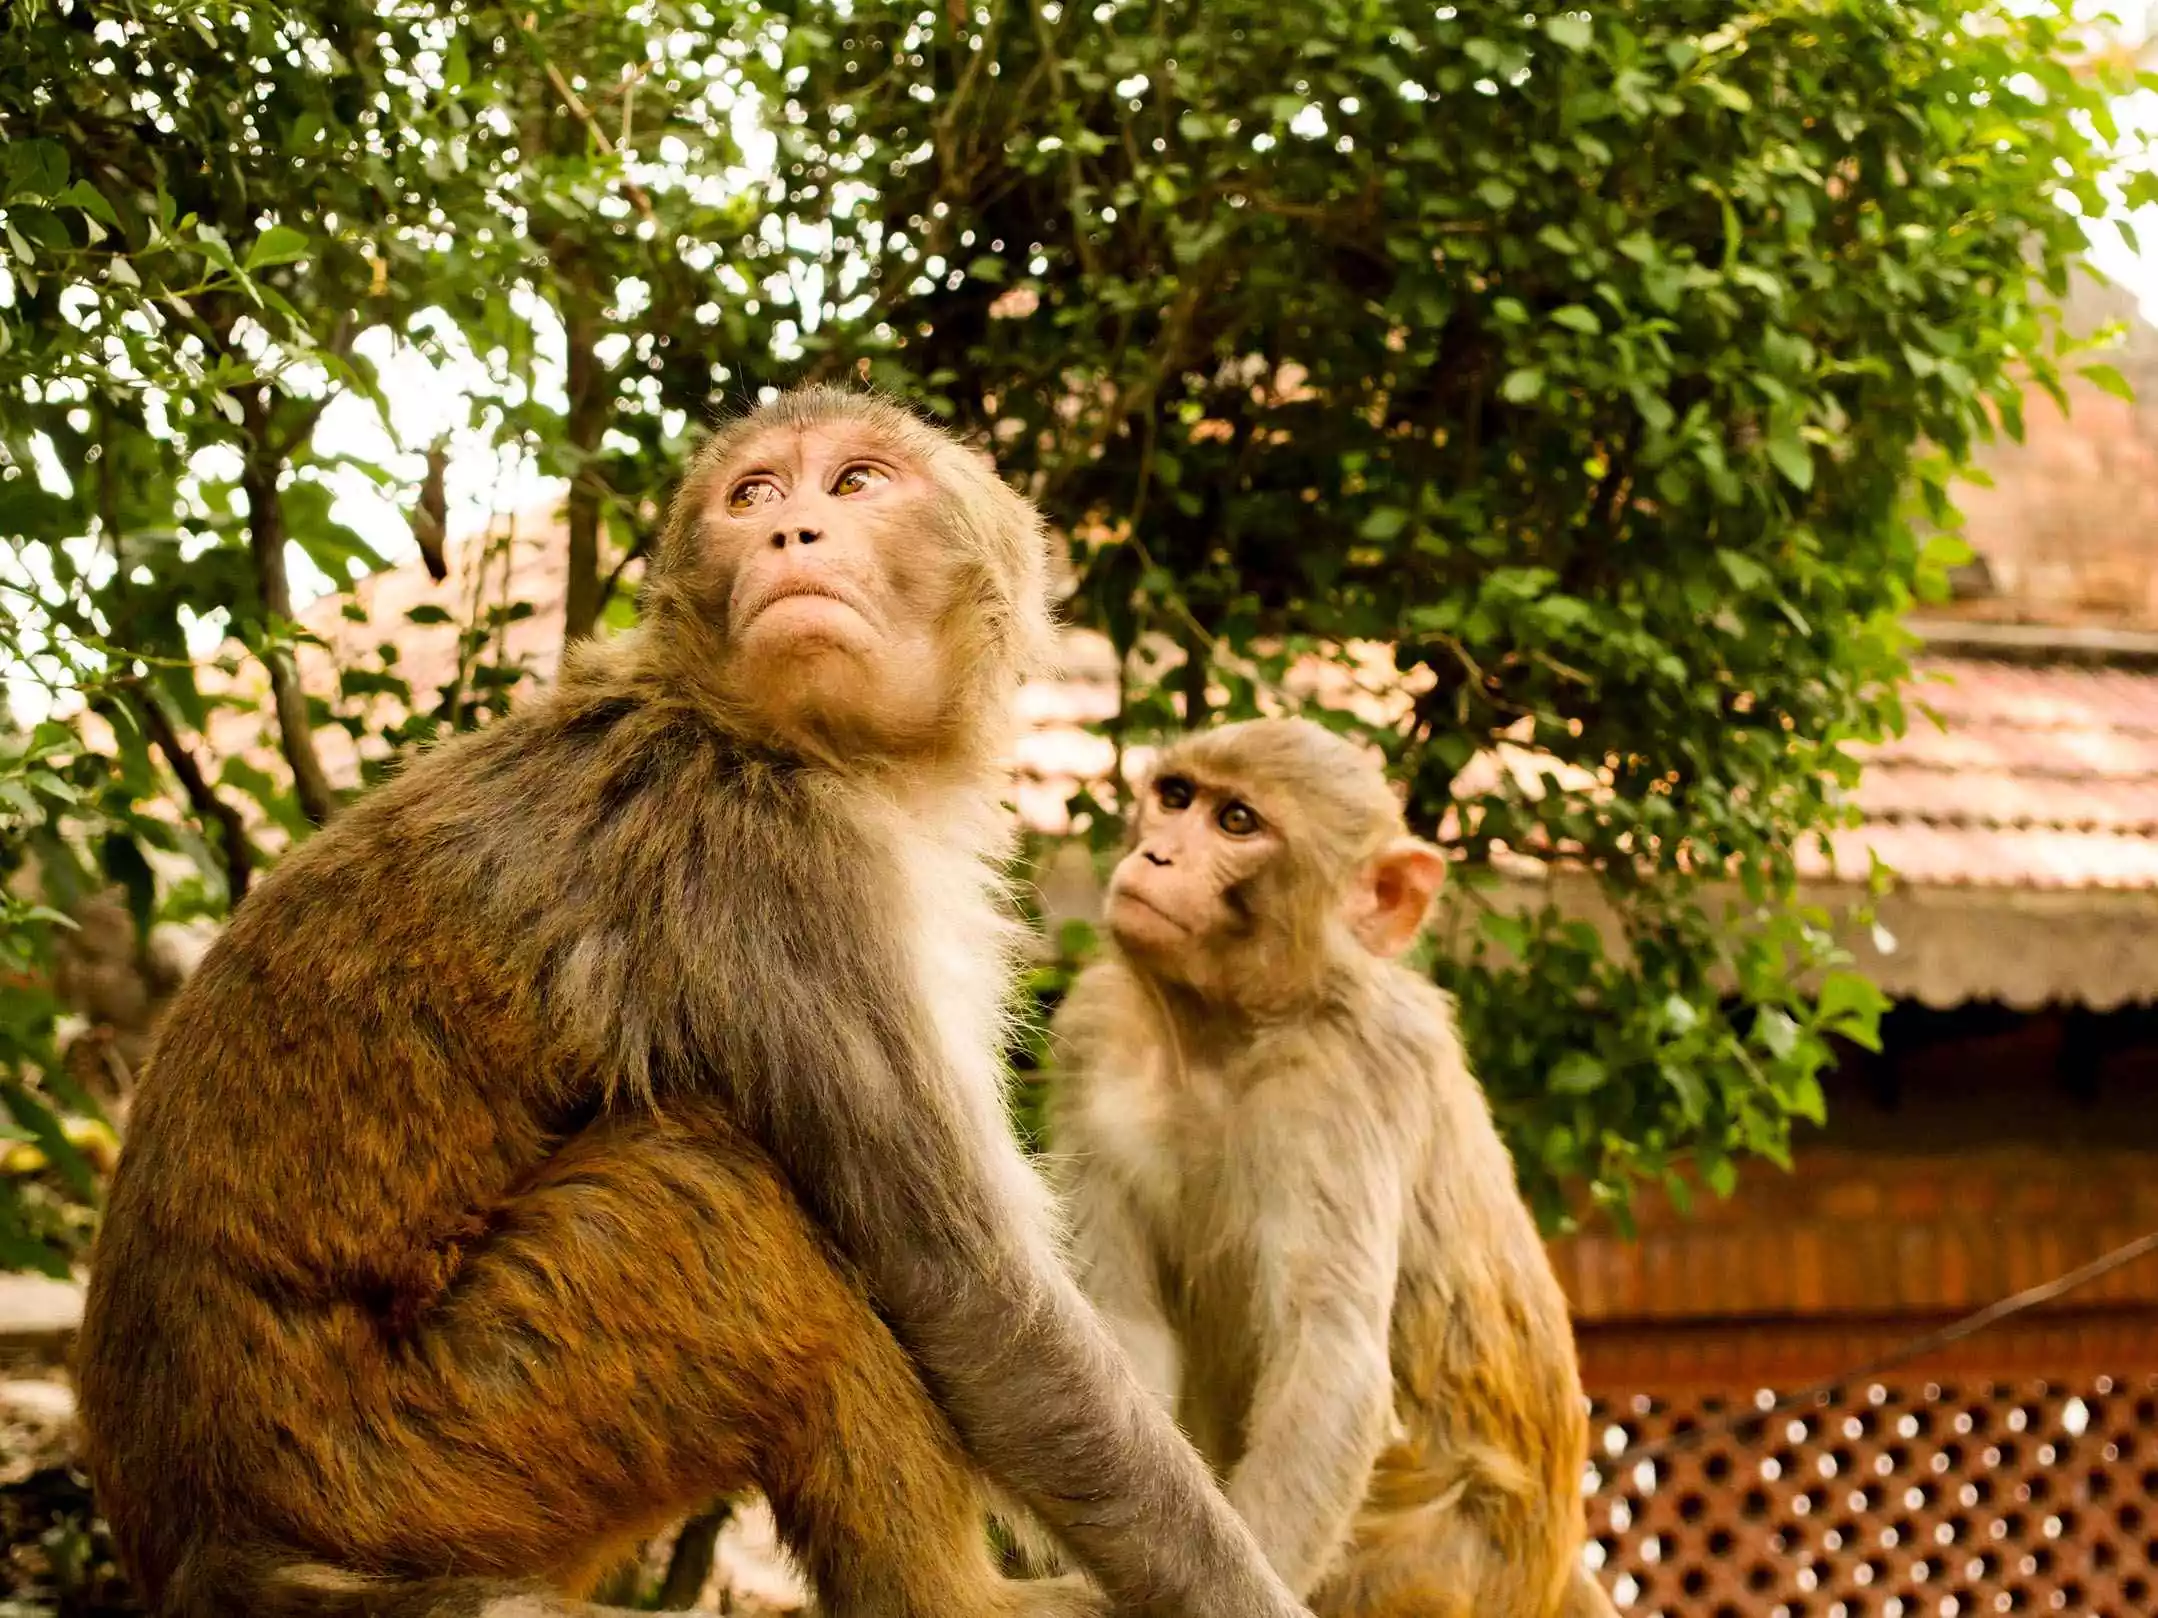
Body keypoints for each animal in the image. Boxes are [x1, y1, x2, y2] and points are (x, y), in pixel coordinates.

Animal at [76, 390, 1303, 1618]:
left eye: (855, 483)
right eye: (753, 495)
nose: (791, 531)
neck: (781, 741)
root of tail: (210, 1549)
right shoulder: (771, 867)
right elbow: (965, 1292)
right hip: (421, 1457)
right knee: (715, 1190)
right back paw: (940, 1597)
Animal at [1044, 720, 1622, 1618]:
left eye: (1237, 822)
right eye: (1176, 797)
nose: (1158, 855)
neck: (1230, 1033)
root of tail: (1553, 1570)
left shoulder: (1346, 1075)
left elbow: (1330, 1350)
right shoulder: (1097, 1032)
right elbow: (1125, 1326)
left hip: (1438, 1568)